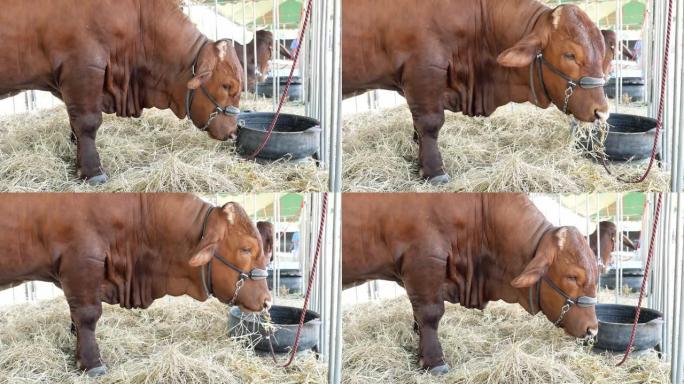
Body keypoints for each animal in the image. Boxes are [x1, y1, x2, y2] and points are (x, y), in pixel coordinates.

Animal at [0, 0, 244, 184]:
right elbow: (87, 123)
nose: (234, 131)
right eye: (227, 85)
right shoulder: (82, 68)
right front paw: (93, 171)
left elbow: (74, 122)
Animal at [0, 194, 272, 376]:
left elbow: (76, 318)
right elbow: (87, 315)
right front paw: (92, 363)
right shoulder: (81, 262)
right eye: (246, 249)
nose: (267, 301)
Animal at [342, 1, 608, 184]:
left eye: (601, 52)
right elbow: (429, 123)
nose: (602, 111)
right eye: (570, 54)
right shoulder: (424, 70)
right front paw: (434, 170)